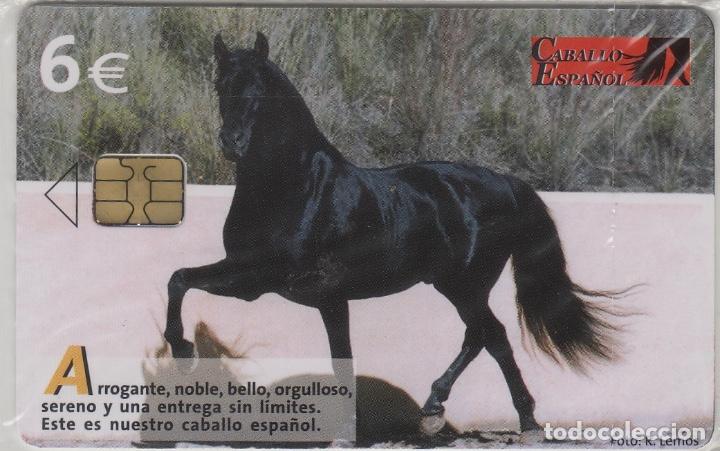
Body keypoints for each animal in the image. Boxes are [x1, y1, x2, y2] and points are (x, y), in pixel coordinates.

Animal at [163, 31, 623, 435]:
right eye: (221, 84)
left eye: (259, 87)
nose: (232, 142)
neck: (293, 187)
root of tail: (507, 183)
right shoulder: (265, 282)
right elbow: (180, 278)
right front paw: (181, 347)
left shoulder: (273, 281)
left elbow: (181, 279)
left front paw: (181, 349)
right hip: (458, 286)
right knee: (488, 338)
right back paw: (487, 415)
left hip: (465, 284)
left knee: (487, 335)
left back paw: (472, 414)